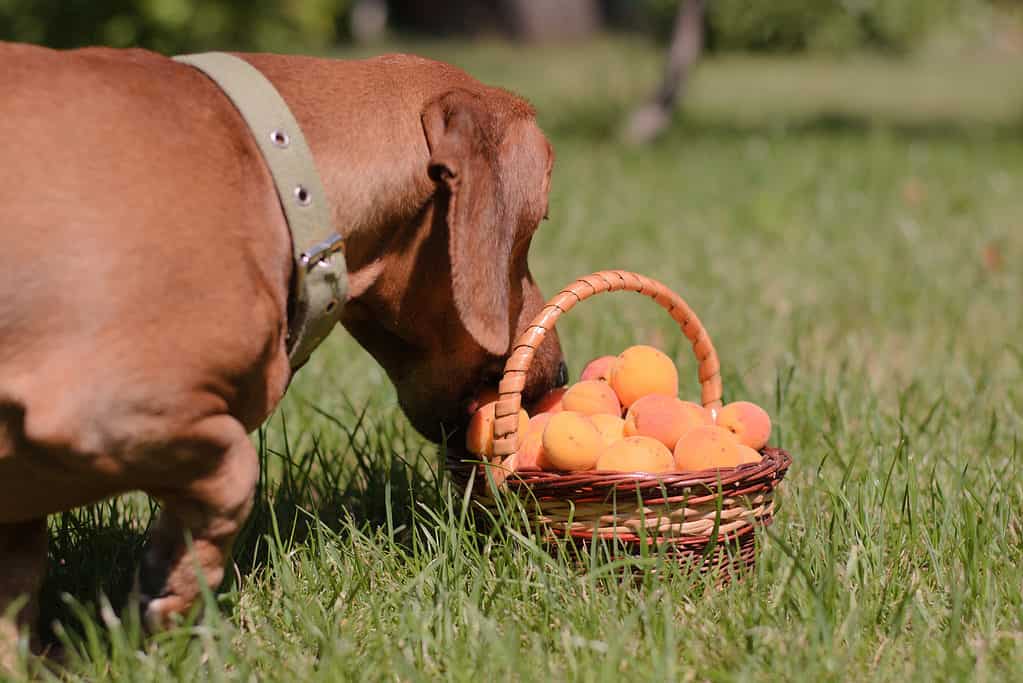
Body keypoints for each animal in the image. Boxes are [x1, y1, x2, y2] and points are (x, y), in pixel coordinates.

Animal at [0, 43, 564, 654]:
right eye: (533, 230)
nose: (559, 375)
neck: (275, 169)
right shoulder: (106, 409)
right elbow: (236, 470)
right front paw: (173, 586)